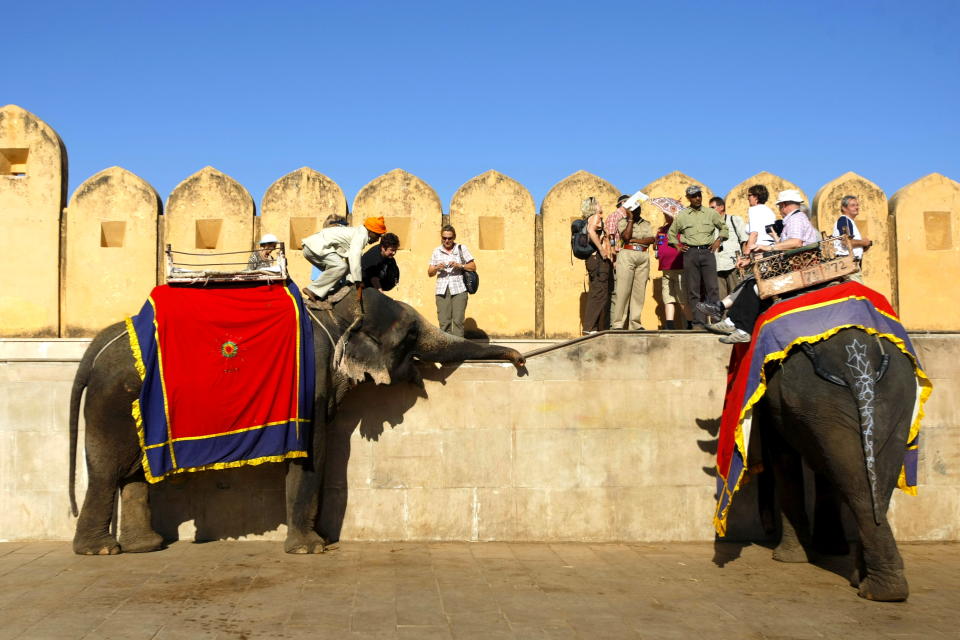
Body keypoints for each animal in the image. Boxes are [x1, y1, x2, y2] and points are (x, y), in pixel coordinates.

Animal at [67, 288, 524, 552]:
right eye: (410, 336)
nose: (521, 362)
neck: (339, 312)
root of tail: (95, 347)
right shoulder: (313, 377)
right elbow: (313, 452)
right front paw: (312, 549)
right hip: (114, 400)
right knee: (108, 472)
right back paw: (101, 551)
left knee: (132, 473)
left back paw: (148, 546)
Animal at [756, 328, 924, 604]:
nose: (767, 529)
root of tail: (861, 366)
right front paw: (829, 550)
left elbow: (785, 456)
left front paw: (791, 558)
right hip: (887, 398)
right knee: (870, 481)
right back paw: (882, 589)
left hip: (822, 399)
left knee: (856, 477)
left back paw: (876, 589)